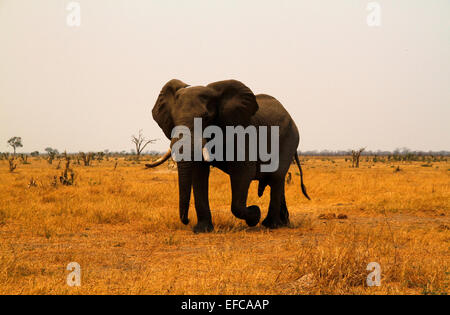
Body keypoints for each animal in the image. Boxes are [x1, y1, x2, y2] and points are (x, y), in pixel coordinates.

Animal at [147, 79, 310, 232]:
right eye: (173, 118)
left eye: (206, 117)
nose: (186, 220)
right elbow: (199, 173)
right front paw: (202, 230)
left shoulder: (241, 133)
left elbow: (244, 172)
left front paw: (255, 214)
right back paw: (283, 223)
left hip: (289, 140)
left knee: (276, 177)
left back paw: (271, 225)